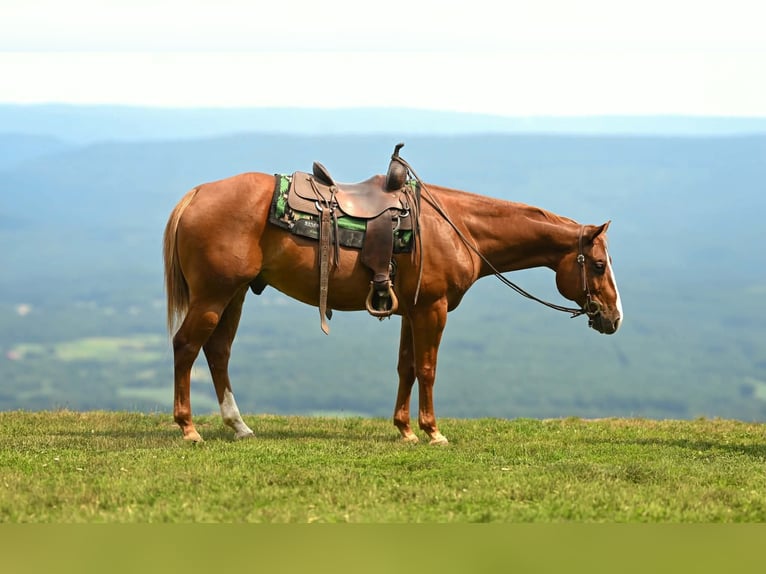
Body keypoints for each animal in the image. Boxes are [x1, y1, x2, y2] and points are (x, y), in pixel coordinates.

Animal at [163, 156, 623, 445]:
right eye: (600, 265)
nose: (614, 317)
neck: (455, 228)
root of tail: (197, 194)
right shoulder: (433, 309)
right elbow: (428, 369)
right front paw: (433, 431)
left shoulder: (411, 310)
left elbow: (406, 368)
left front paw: (404, 429)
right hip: (214, 294)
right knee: (186, 347)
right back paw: (188, 428)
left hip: (235, 294)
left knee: (218, 351)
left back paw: (238, 425)